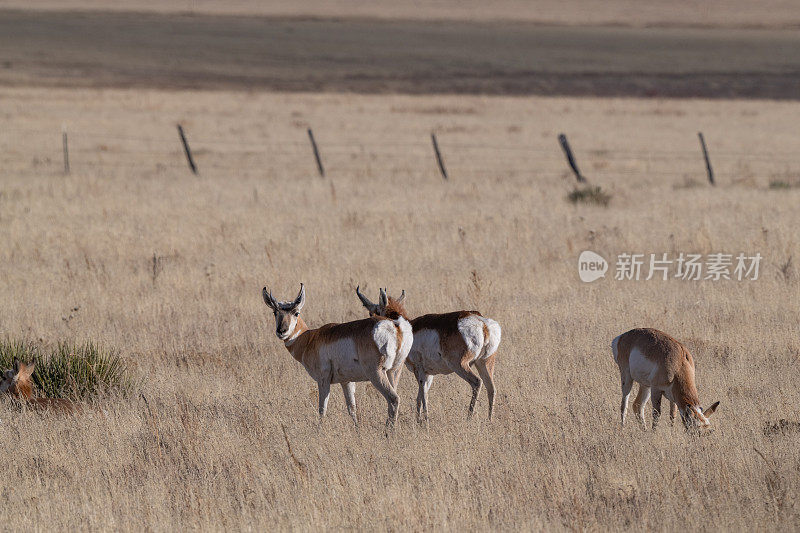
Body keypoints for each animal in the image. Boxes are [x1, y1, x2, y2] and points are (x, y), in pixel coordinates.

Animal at [262, 282, 412, 424]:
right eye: (275, 312)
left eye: (296, 312)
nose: (282, 331)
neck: (311, 338)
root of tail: (395, 325)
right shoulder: (347, 382)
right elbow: (352, 409)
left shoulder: (323, 380)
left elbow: (322, 410)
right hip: (393, 372)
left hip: (376, 373)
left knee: (393, 399)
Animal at [356, 286, 500, 420]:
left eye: (372, 313)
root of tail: (481, 322)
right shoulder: (428, 374)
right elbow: (420, 396)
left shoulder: (419, 371)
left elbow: (423, 394)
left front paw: (423, 421)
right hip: (485, 363)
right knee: (491, 388)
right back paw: (489, 419)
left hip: (460, 365)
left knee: (477, 382)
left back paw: (469, 418)